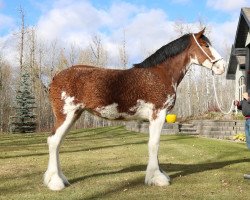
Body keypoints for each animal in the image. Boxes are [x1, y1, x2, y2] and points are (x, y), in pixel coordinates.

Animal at [44, 29, 226, 191]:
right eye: (206, 45)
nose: (222, 66)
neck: (160, 74)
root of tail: (55, 77)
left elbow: (154, 145)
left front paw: (158, 174)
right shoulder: (158, 114)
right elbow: (154, 144)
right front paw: (157, 178)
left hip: (74, 115)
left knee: (57, 142)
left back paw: (59, 178)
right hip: (65, 115)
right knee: (53, 141)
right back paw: (55, 182)